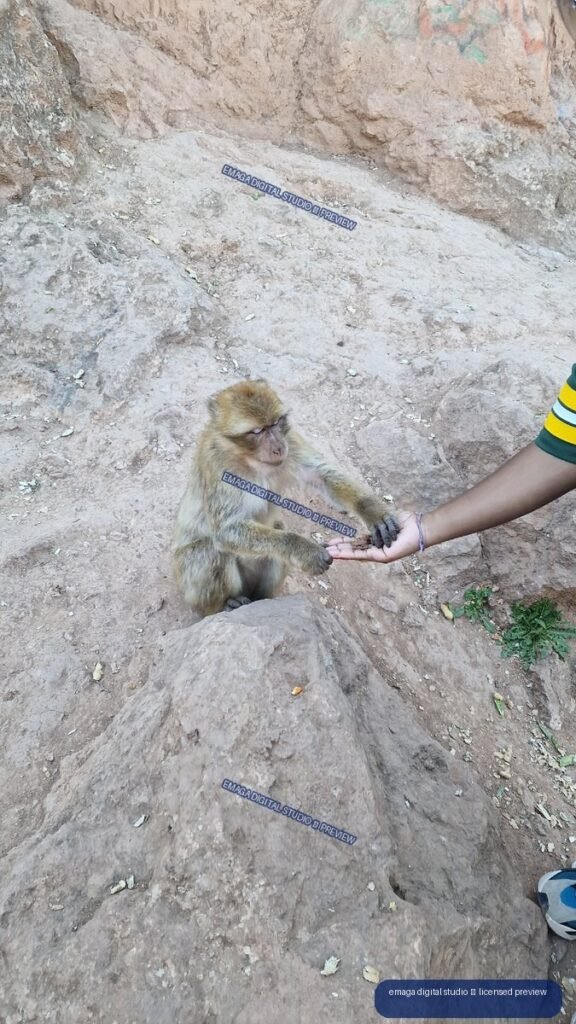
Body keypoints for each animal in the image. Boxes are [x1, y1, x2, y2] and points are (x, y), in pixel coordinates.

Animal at [173, 379, 399, 616]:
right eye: (257, 431)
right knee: (210, 550)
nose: (279, 447)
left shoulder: (291, 439)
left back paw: (262, 599)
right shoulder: (217, 463)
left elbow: (322, 476)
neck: (250, 459)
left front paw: (373, 512)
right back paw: (224, 604)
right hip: (189, 583)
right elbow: (227, 530)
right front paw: (302, 548)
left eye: (275, 423)